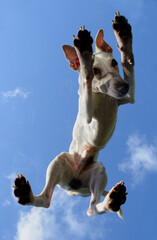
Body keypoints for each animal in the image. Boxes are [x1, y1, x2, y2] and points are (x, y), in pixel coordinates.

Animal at [12, 12, 134, 218]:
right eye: (96, 70)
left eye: (114, 62)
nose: (122, 87)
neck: (104, 97)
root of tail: (74, 190)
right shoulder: (88, 115)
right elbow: (85, 79)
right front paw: (84, 54)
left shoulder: (129, 97)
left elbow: (129, 65)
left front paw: (123, 35)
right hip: (60, 161)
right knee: (45, 199)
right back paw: (26, 194)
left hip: (98, 171)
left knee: (92, 208)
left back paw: (112, 200)